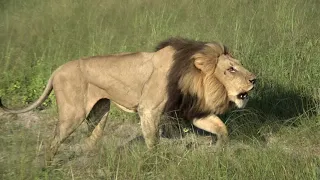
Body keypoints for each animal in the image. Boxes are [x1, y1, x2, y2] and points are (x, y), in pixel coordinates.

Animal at [0, 37, 255, 162]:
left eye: (238, 65)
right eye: (231, 69)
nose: (254, 79)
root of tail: (56, 70)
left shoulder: (192, 110)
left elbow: (220, 128)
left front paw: (221, 149)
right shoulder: (149, 109)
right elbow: (153, 141)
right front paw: (154, 162)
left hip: (100, 112)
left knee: (90, 140)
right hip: (73, 113)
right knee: (53, 142)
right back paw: (48, 166)